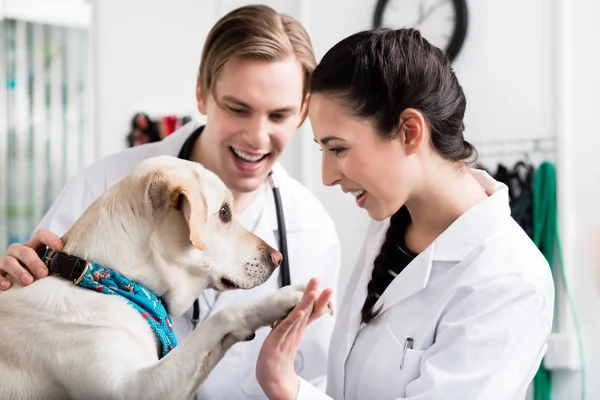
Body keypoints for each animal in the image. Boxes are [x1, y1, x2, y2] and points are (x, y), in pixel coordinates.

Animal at [0, 155, 310, 398]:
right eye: (224, 213)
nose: (278, 257)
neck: (101, 279)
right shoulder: (136, 388)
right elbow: (221, 319)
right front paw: (279, 300)